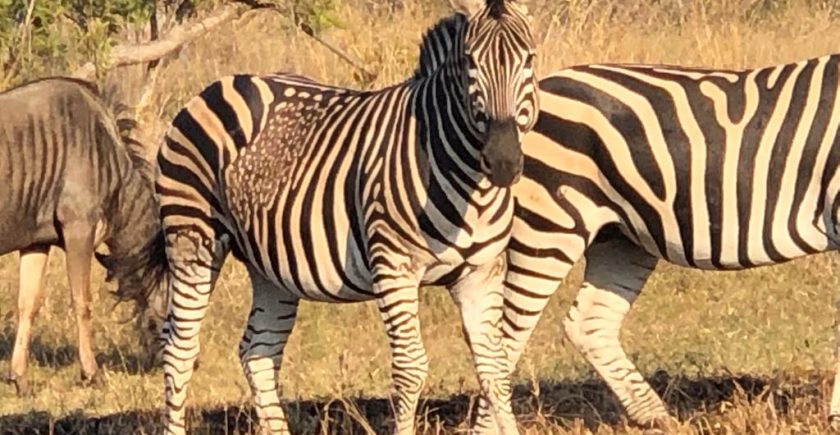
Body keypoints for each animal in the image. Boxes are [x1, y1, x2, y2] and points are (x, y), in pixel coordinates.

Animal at [0, 76, 169, 396]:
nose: (196, 362)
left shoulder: (37, 242)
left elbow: (28, 304)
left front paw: (19, 379)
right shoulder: (79, 230)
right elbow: (82, 302)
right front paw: (92, 373)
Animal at [156, 0, 540, 435]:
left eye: (529, 59)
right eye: (471, 62)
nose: (503, 162)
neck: (472, 190)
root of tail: (219, 84)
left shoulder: (481, 273)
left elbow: (494, 370)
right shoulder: (394, 268)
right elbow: (410, 370)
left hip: (267, 262)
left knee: (257, 351)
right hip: (191, 235)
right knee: (179, 349)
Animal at [470, 52, 840, 430]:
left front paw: (835, 415)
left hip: (619, 237)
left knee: (589, 323)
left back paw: (659, 418)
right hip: (551, 226)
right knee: (502, 338)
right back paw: (490, 428)